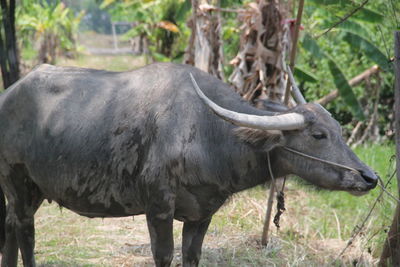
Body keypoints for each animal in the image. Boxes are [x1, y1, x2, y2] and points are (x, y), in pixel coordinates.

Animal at [0, 62, 376, 266]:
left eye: (339, 130)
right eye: (318, 135)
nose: (369, 177)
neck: (207, 134)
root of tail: (8, 95)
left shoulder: (201, 214)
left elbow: (192, 256)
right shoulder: (158, 209)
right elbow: (164, 256)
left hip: (31, 190)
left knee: (9, 226)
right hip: (16, 183)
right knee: (25, 234)